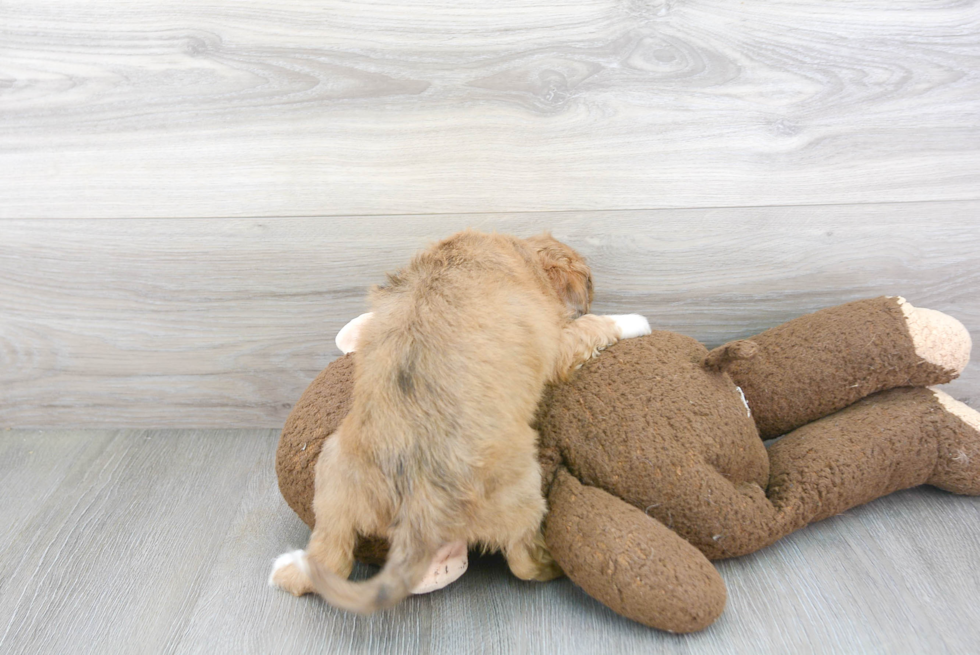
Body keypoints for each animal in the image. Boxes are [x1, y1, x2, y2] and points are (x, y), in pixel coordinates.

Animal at [270, 231, 652, 616]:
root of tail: (415, 504)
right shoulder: (558, 343)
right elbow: (596, 325)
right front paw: (637, 319)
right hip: (522, 490)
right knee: (523, 562)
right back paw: (552, 564)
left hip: (331, 480)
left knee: (330, 561)